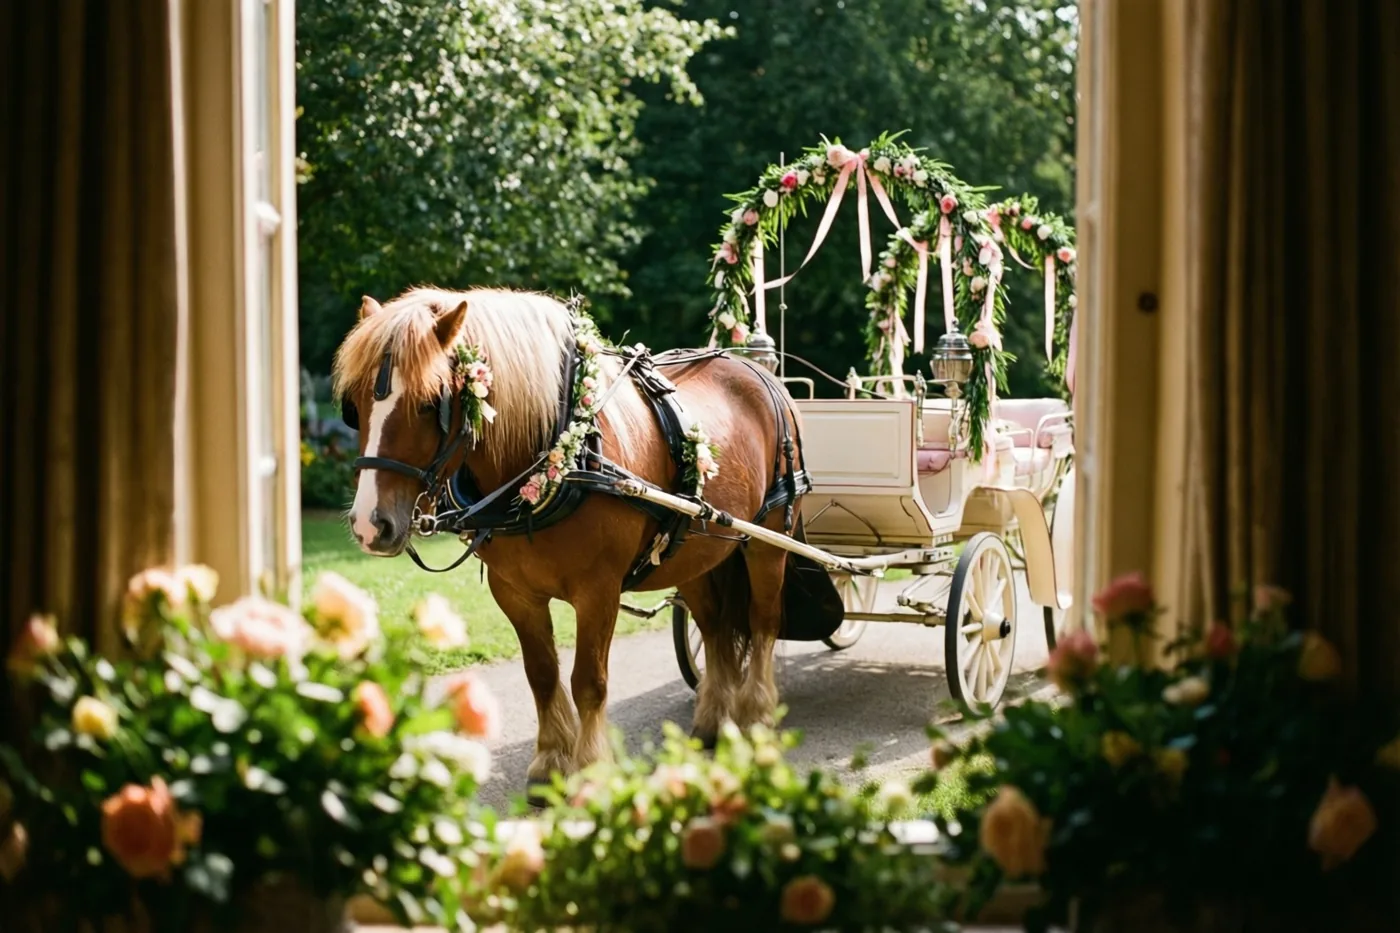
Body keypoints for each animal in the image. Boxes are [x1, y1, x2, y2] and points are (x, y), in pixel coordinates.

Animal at [332, 287, 818, 791]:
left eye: (431, 403)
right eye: (354, 406)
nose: (371, 524)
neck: (563, 452)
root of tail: (759, 371)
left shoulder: (597, 591)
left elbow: (589, 679)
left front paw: (589, 770)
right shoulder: (515, 593)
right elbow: (542, 673)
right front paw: (549, 760)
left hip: (769, 539)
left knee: (762, 621)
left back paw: (757, 715)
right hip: (697, 553)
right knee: (717, 628)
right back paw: (712, 722)